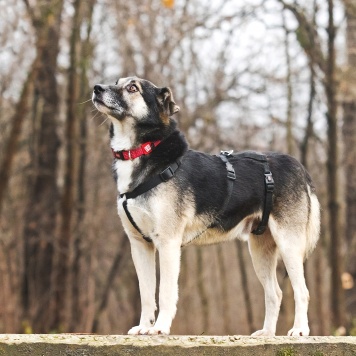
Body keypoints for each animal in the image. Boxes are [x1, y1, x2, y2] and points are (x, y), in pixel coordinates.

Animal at [92, 76, 320, 336]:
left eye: (132, 88)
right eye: (116, 81)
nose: (96, 88)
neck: (143, 150)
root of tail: (299, 167)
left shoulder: (168, 243)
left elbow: (166, 292)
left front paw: (160, 328)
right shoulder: (140, 244)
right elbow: (147, 294)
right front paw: (144, 326)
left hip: (288, 243)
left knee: (301, 291)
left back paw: (300, 330)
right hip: (260, 248)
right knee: (275, 293)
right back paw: (267, 333)